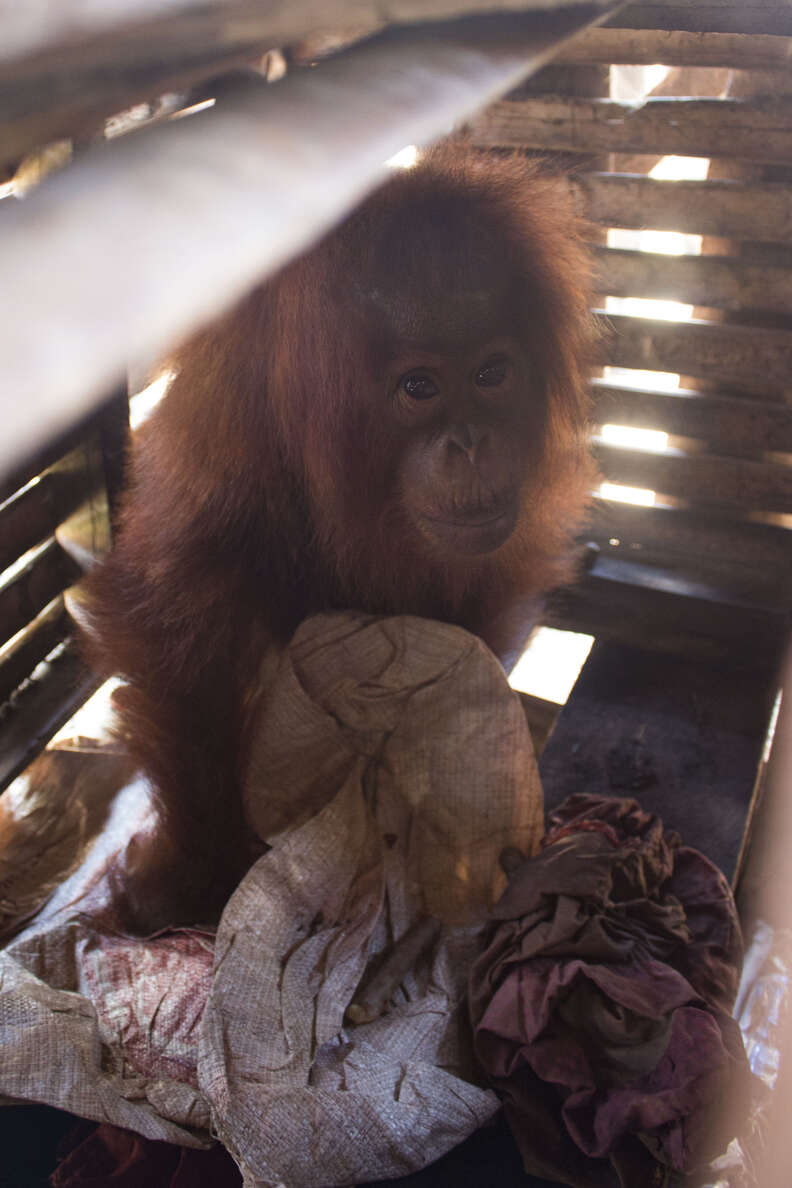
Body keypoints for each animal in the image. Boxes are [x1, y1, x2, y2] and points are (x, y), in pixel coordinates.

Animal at [83, 144, 597, 930]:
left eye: (491, 373)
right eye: (419, 387)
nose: (470, 445)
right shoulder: (225, 429)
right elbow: (174, 631)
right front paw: (195, 879)